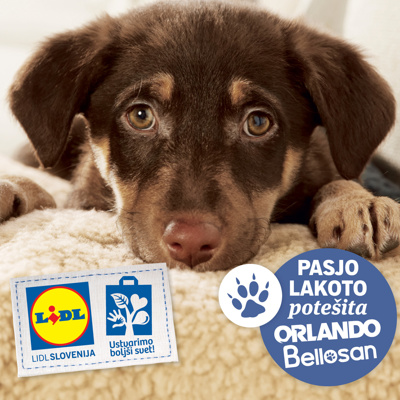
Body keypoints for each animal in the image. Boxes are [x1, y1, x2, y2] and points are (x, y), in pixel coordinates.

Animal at [1, 0, 400, 271]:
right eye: (141, 116)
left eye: (258, 123)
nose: (190, 243)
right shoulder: (81, 196)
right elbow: (49, 195)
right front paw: (12, 188)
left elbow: (339, 179)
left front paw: (359, 202)